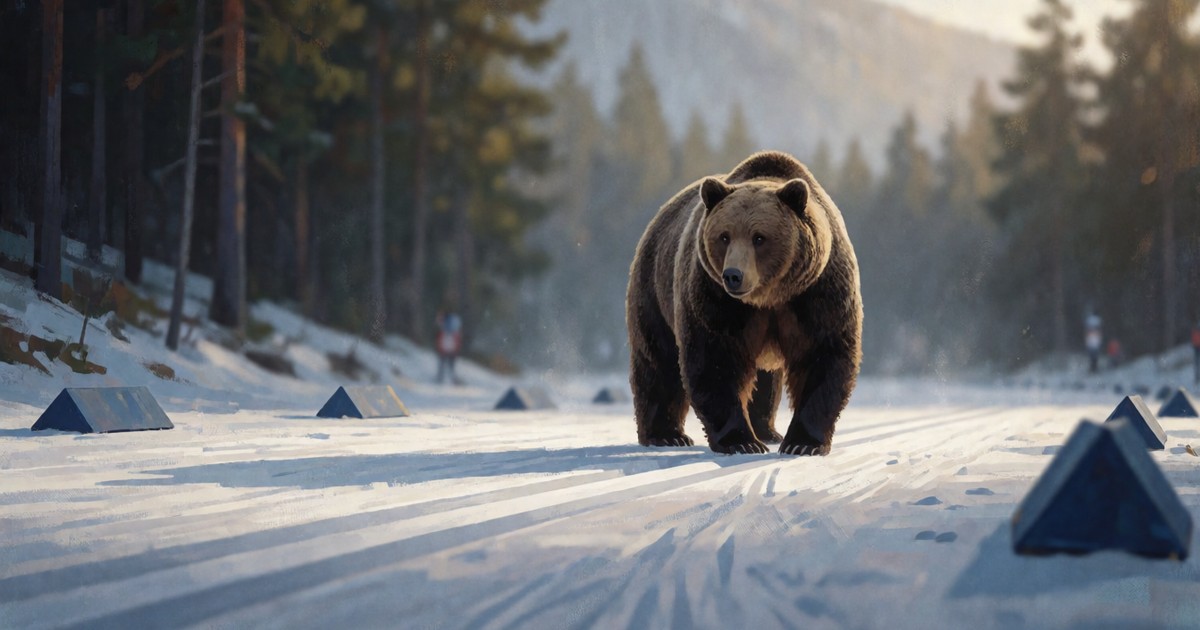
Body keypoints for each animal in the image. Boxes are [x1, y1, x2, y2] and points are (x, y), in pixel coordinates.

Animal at [625, 151, 862, 455]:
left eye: (759, 237)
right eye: (724, 236)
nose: (733, 275)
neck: (769, 297)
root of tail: (658, 216)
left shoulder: (818, 294)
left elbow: (823, 356)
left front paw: (802, 443)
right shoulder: (714, 299)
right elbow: (715, 360)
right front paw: (742, 441)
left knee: (764, 380)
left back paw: (768, 431)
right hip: (654, 286)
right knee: (658, 360)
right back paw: (666, 435)